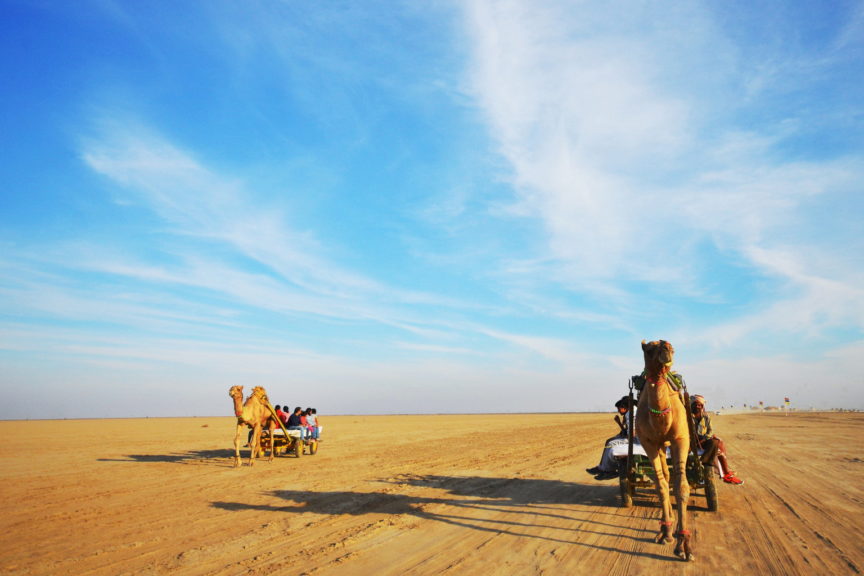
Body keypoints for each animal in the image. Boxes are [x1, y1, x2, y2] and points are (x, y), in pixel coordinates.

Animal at [634, 340, 693, 561]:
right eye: (648, 348)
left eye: (672, 347)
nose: (667, 349)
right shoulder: (649, 442)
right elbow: (660, 487)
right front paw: (668, 533)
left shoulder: (681, 439)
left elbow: (682, 487)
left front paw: (684, 545)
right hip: (659, 446)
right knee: (665, 478)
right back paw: (664, 529)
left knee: (670, 478)